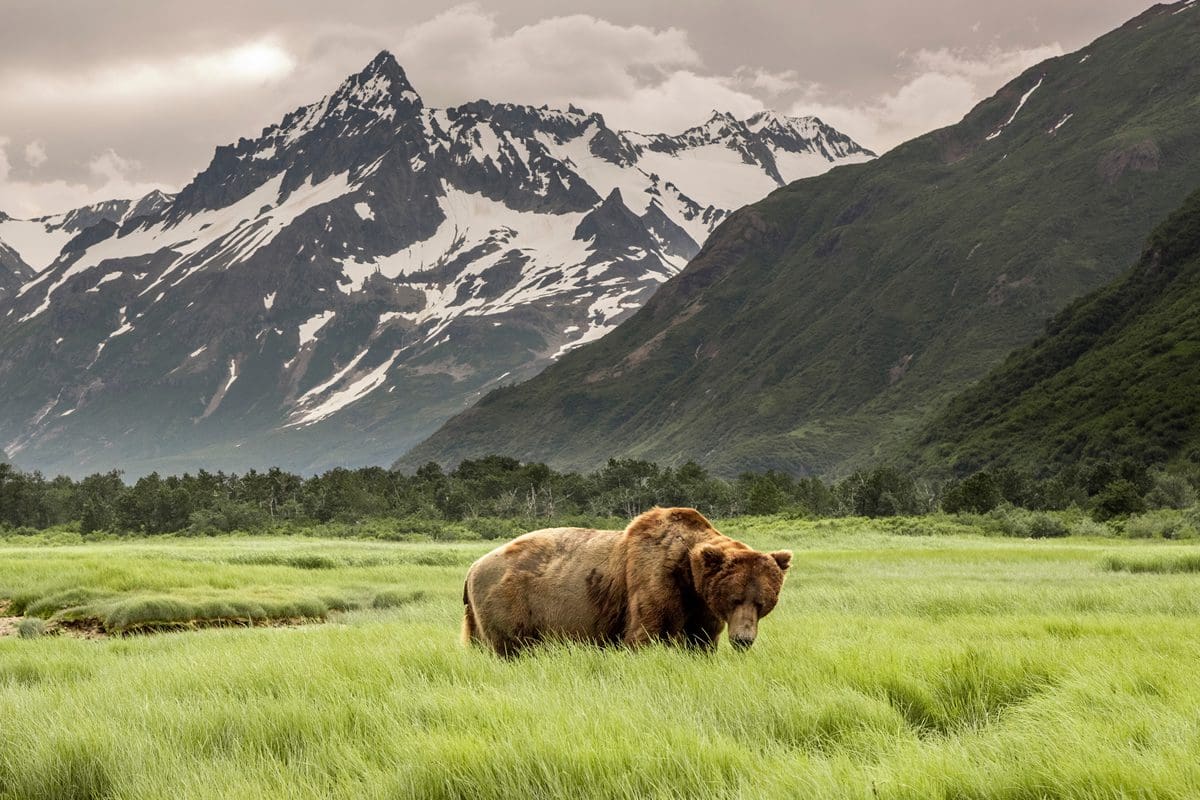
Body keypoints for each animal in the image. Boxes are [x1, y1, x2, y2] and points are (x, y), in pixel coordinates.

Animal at [462, 506, 791, 656]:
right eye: (735, 598)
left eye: (762, 602)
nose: (743, 640)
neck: (688, 575)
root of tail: (472, 567)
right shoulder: (653, 579)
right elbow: (645, 634)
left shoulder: (700, 606)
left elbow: (700, 639)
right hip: (511, 600)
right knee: (510, 646)